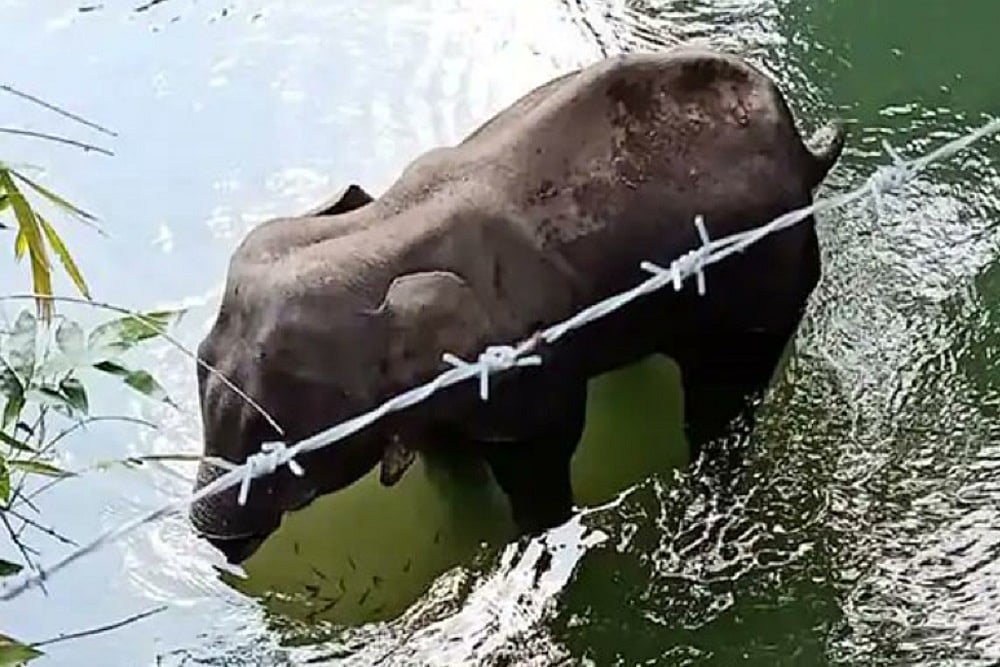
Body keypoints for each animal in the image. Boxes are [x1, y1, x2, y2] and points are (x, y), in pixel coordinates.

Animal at [190, 46, 846, 563]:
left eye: (283, 438)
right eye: (199, 362)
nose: (216, 543)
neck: (383, 229)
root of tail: (805, 150)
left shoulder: (524, 368)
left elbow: (540, 457)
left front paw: (531, 539)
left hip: (769, 274)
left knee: (724, 393)